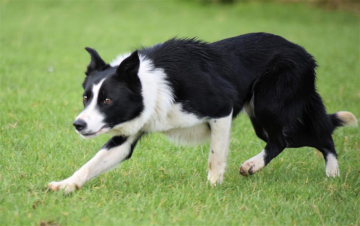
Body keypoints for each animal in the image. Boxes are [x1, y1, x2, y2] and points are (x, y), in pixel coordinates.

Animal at [47, 32, 358, 193]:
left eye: (108, 100)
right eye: (86, 97)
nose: (78, 124)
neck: (152, 85)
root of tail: (305, 55)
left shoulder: (221, 109)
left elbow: (215, 157)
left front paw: (213, 188)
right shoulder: (127, 134)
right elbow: (90, 164)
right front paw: (65, 185)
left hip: (269, 107)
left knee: (306, 137)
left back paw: (329, 172)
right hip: (262, 116)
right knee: (284, 140)